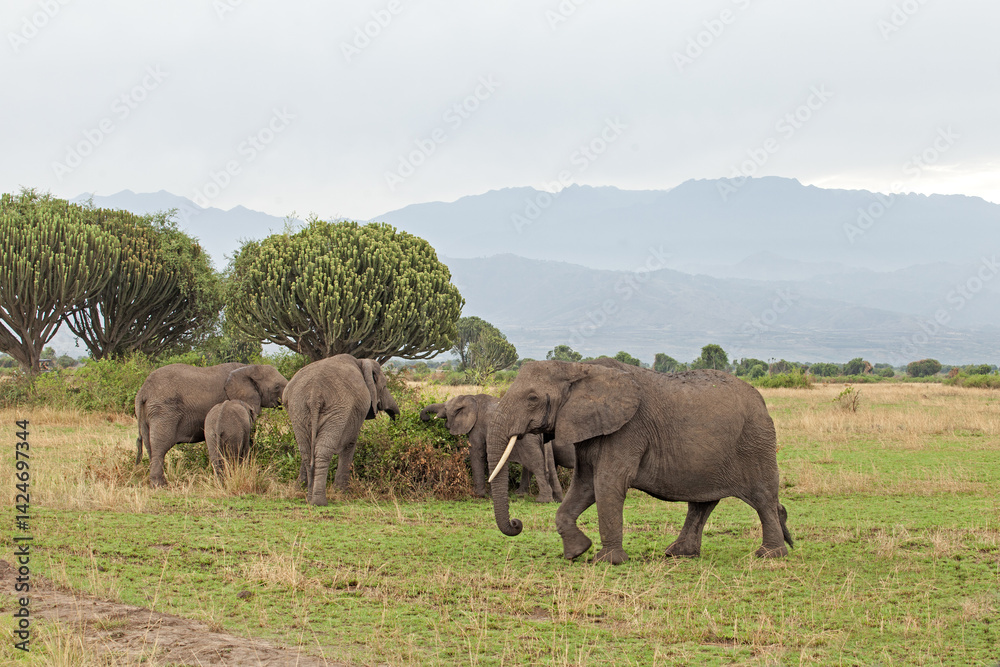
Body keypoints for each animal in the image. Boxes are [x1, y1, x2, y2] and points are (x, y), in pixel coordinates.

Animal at [135, 363, 288, 487]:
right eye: (276, 387)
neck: (248, 368)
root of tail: (143, 391)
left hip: (146, 413)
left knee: (149, 446)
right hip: (164, 412)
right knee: (160, 447)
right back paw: (160, 485)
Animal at [283, 354, 400, 505]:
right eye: (384, 386)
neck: (361, 362)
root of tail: (314, 393)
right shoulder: (355, 412)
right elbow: (350, 444)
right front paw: (342, 492)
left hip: (298, 409)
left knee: (306, 451)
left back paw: (309, 499)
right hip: (337, 409)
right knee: (323, 450)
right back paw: (320, 502)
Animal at [420, 394, 563, 502]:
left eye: (445, 408)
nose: (425, 418)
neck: (471, 398)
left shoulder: (477, 427)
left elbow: (477, 452)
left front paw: (479, 494)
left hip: (527, 440)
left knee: (536, 464)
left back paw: (542, 500)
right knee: (549, 465)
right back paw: (554, 499)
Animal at [486, 359, 793, 564]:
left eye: (532, 398)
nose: (516, 523)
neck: (580, 368)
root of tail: (761, 399)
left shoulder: (627, 430)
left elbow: (607, 484)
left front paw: (608, 560)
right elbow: (584, 486)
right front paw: (576, 552)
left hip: (756, 441)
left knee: (763, 497)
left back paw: (769, 554)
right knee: (702, 503)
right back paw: (678, 553)